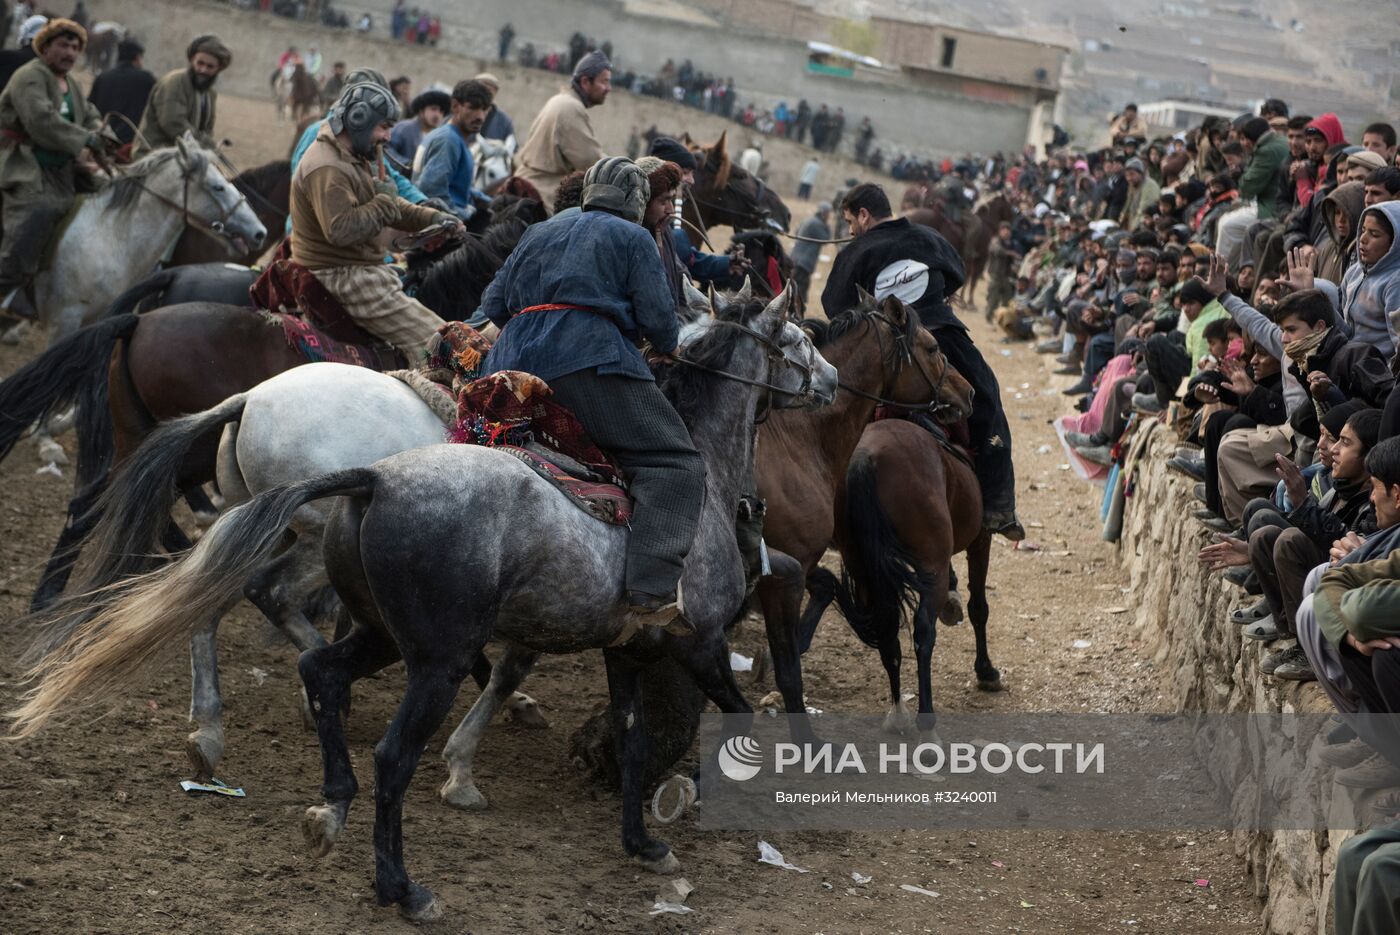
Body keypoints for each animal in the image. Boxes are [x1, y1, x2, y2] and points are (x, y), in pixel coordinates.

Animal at [10, 282, 834, 918]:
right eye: (797, 334)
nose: (829, 381)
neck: (702, 477)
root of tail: (374, 478)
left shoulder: (624, 648)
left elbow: (626, 739)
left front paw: (642, 838)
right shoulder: (694, 641)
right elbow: (729, 712)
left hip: (352, 603)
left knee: (272, 640)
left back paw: (287, 776)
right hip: (411, 637)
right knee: (370, 729)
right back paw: (398, 881)